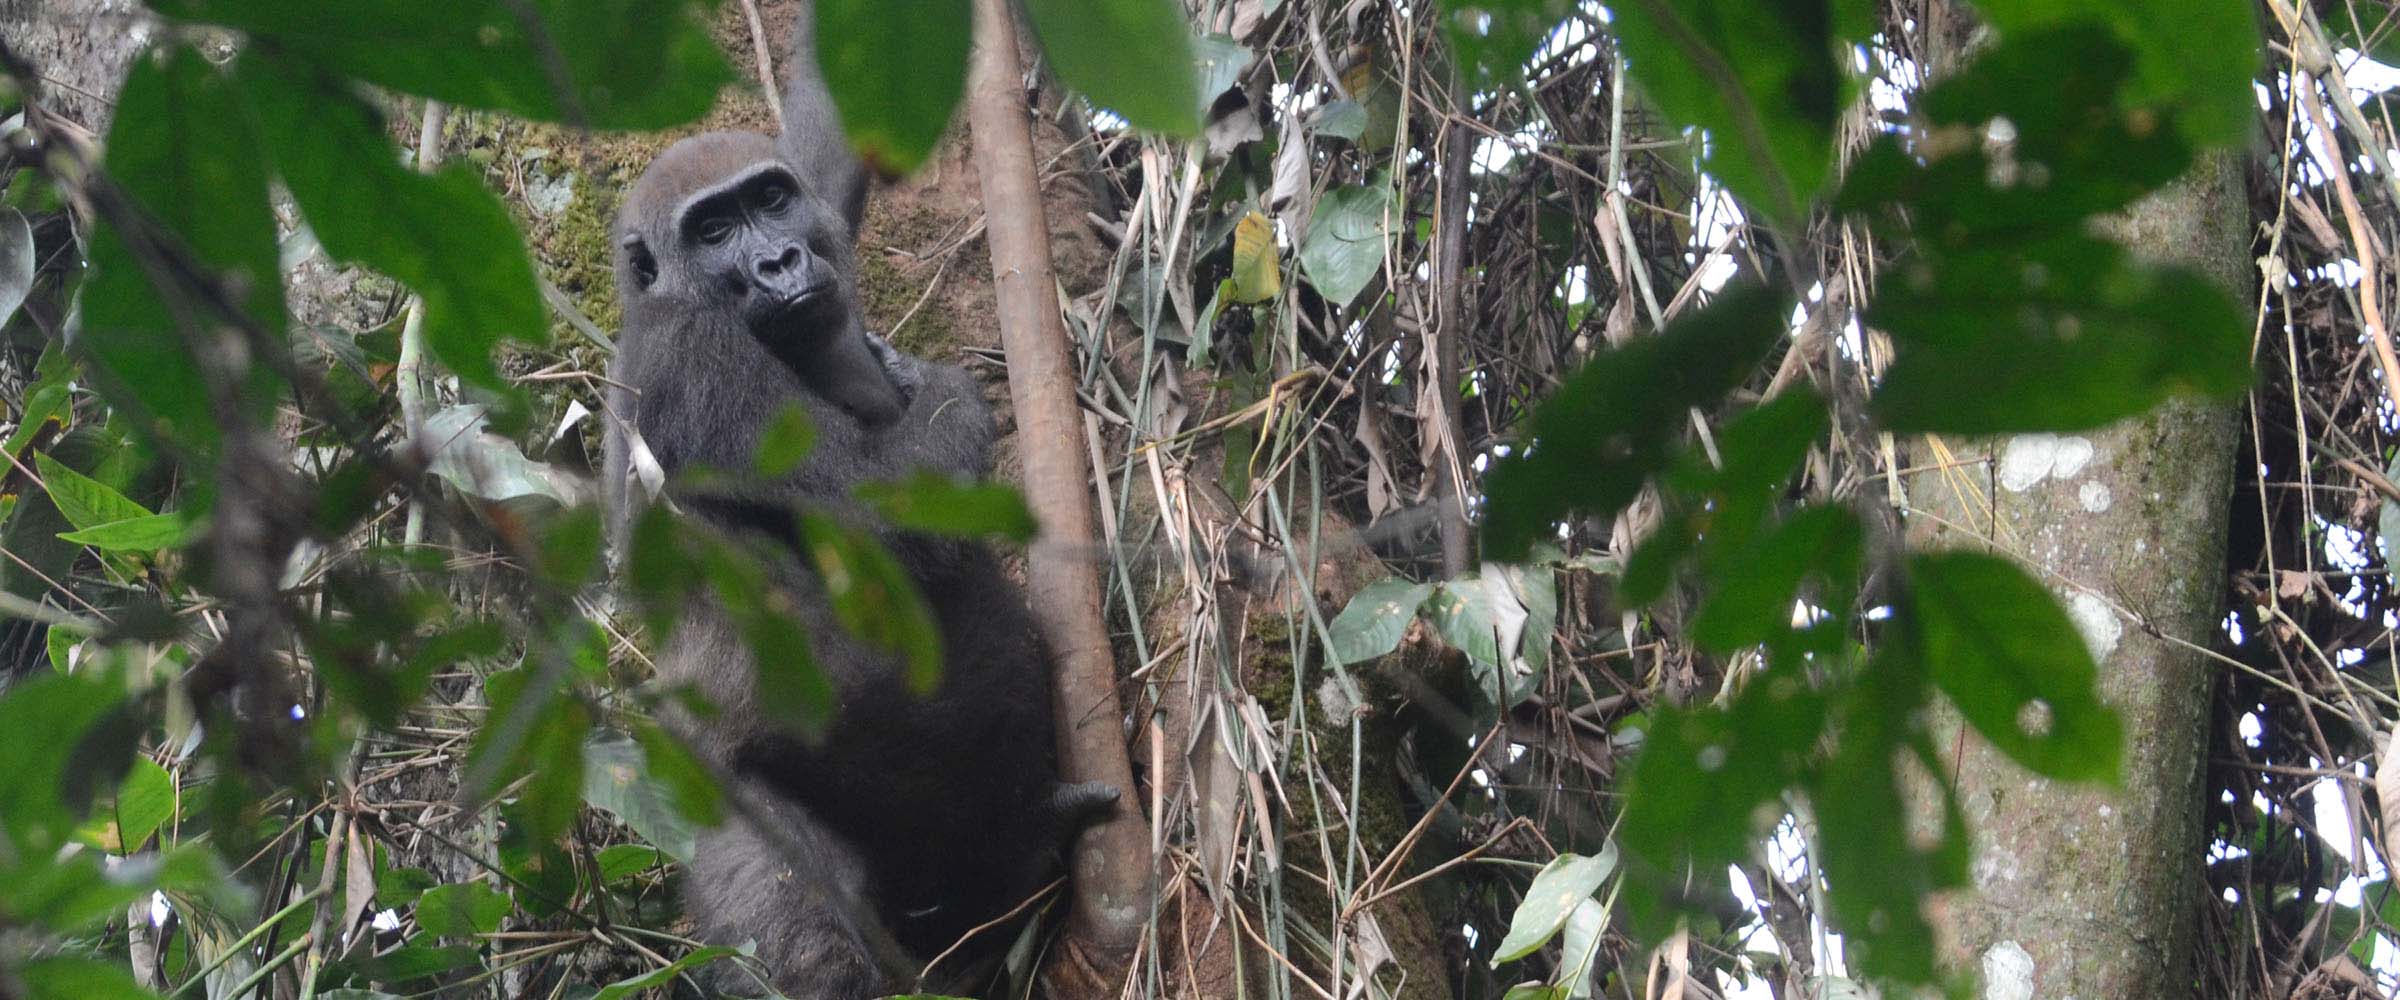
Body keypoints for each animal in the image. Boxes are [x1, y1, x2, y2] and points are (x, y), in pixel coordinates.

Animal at [609, 9, 1113, 997]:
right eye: (712, 229)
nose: (778, 259)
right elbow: (877, 507)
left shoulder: (811, 188)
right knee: (801, 920)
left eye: (769, 201)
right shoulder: (690, 353)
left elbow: (836, 123)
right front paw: (945, 390)